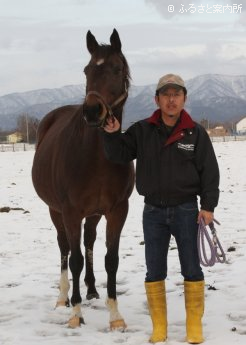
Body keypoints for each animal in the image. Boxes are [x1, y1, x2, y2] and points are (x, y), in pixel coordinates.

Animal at [31, 28, 135, 328]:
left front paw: (115, 316)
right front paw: (76, 313)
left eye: (116, 68)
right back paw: (63, 298)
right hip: (56, 211)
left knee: (88, 241)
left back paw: (90, 289)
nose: (92, 112)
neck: (97, 158)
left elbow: (111, 259)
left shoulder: (117, 210)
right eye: (87, 70)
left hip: (94, 213)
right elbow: (75, 258)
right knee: (65, 248)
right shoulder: (70, 211)